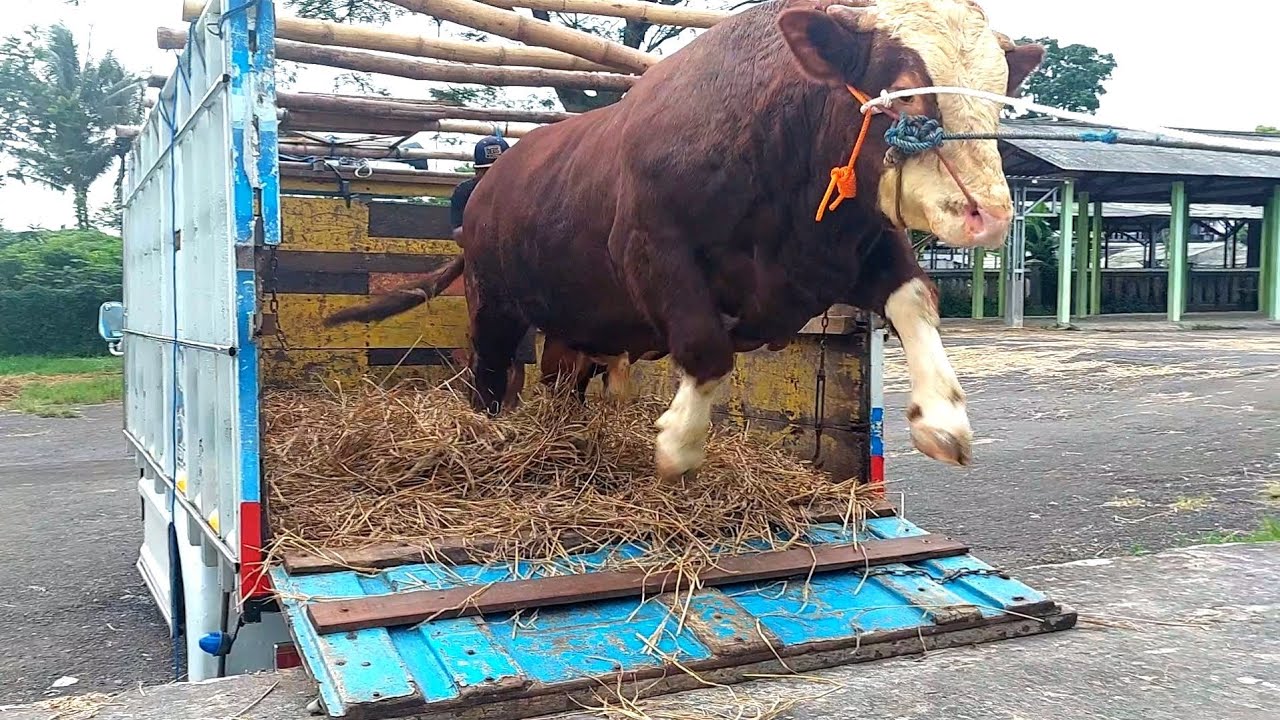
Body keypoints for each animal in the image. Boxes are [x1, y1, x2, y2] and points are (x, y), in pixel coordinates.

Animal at [327, 0, 1045, 482]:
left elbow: (917, 299)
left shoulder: (858, 244)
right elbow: (705, 347)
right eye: (904, 94)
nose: (989, 212)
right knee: (488, 369)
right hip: (493, 298)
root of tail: (487, 185)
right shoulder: (651, 248)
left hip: (570, 324)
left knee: (561, 379)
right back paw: (485, 431)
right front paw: (679, 444)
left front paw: (943, 418)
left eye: (999, 99)